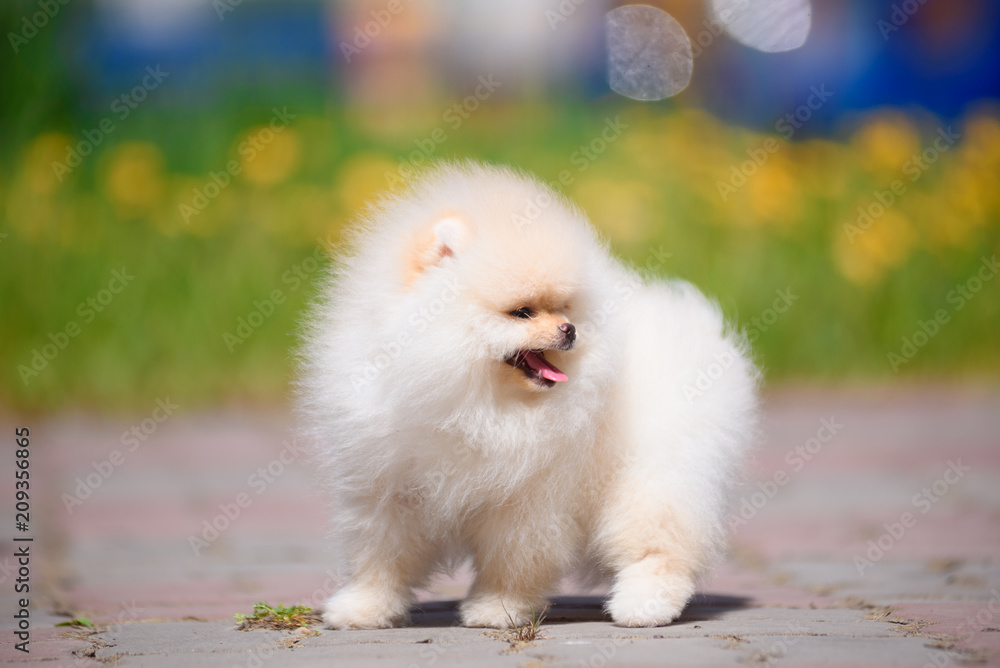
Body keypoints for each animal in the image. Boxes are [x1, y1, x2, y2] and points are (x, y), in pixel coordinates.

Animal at [296, 162, 756, 632]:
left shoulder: (527, 497)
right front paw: (363, 608)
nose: (570, 330)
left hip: (650, 473)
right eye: (522, 312)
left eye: (564, 307)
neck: (471, 401)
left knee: (660, 542)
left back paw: (645, 605)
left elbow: (512, 561)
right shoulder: (389, 483)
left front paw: (496, 607)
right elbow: (381, 555)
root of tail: (697, 323)